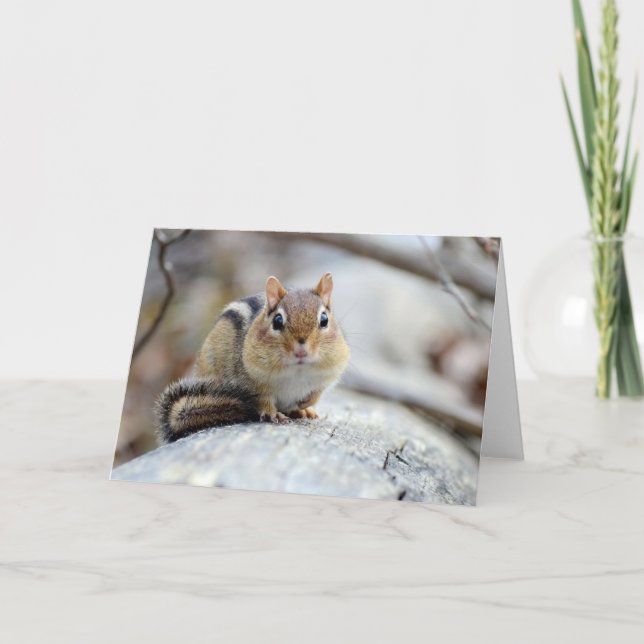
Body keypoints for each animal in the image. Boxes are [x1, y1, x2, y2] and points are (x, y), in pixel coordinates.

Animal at [155, 272, 350, 443]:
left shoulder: (329, 373)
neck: (297, 373)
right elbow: (264, 400)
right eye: (277, 321)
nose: (301, 350)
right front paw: (273, 413)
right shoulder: (253, 382)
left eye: (324, 320)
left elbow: (317, 393)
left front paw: (307, 405)